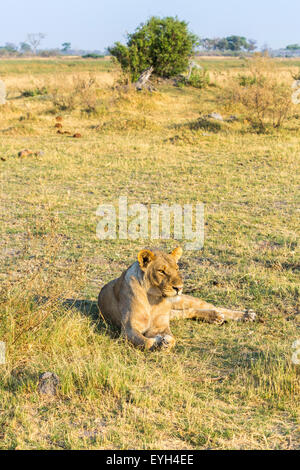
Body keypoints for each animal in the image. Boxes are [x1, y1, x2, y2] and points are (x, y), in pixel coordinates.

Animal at [98, 248, 255, 350]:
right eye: (161, 271)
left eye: (177, 268)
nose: (179, 288)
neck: (153, 298)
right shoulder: (128, 329)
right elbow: (145, 342)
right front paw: (158, 342)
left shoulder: (161, 326)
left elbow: (172, 339)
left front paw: (165, 341)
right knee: (188, 312)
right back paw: (215, 317)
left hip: (182, 300)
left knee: (212, 306)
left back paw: (246, 315)